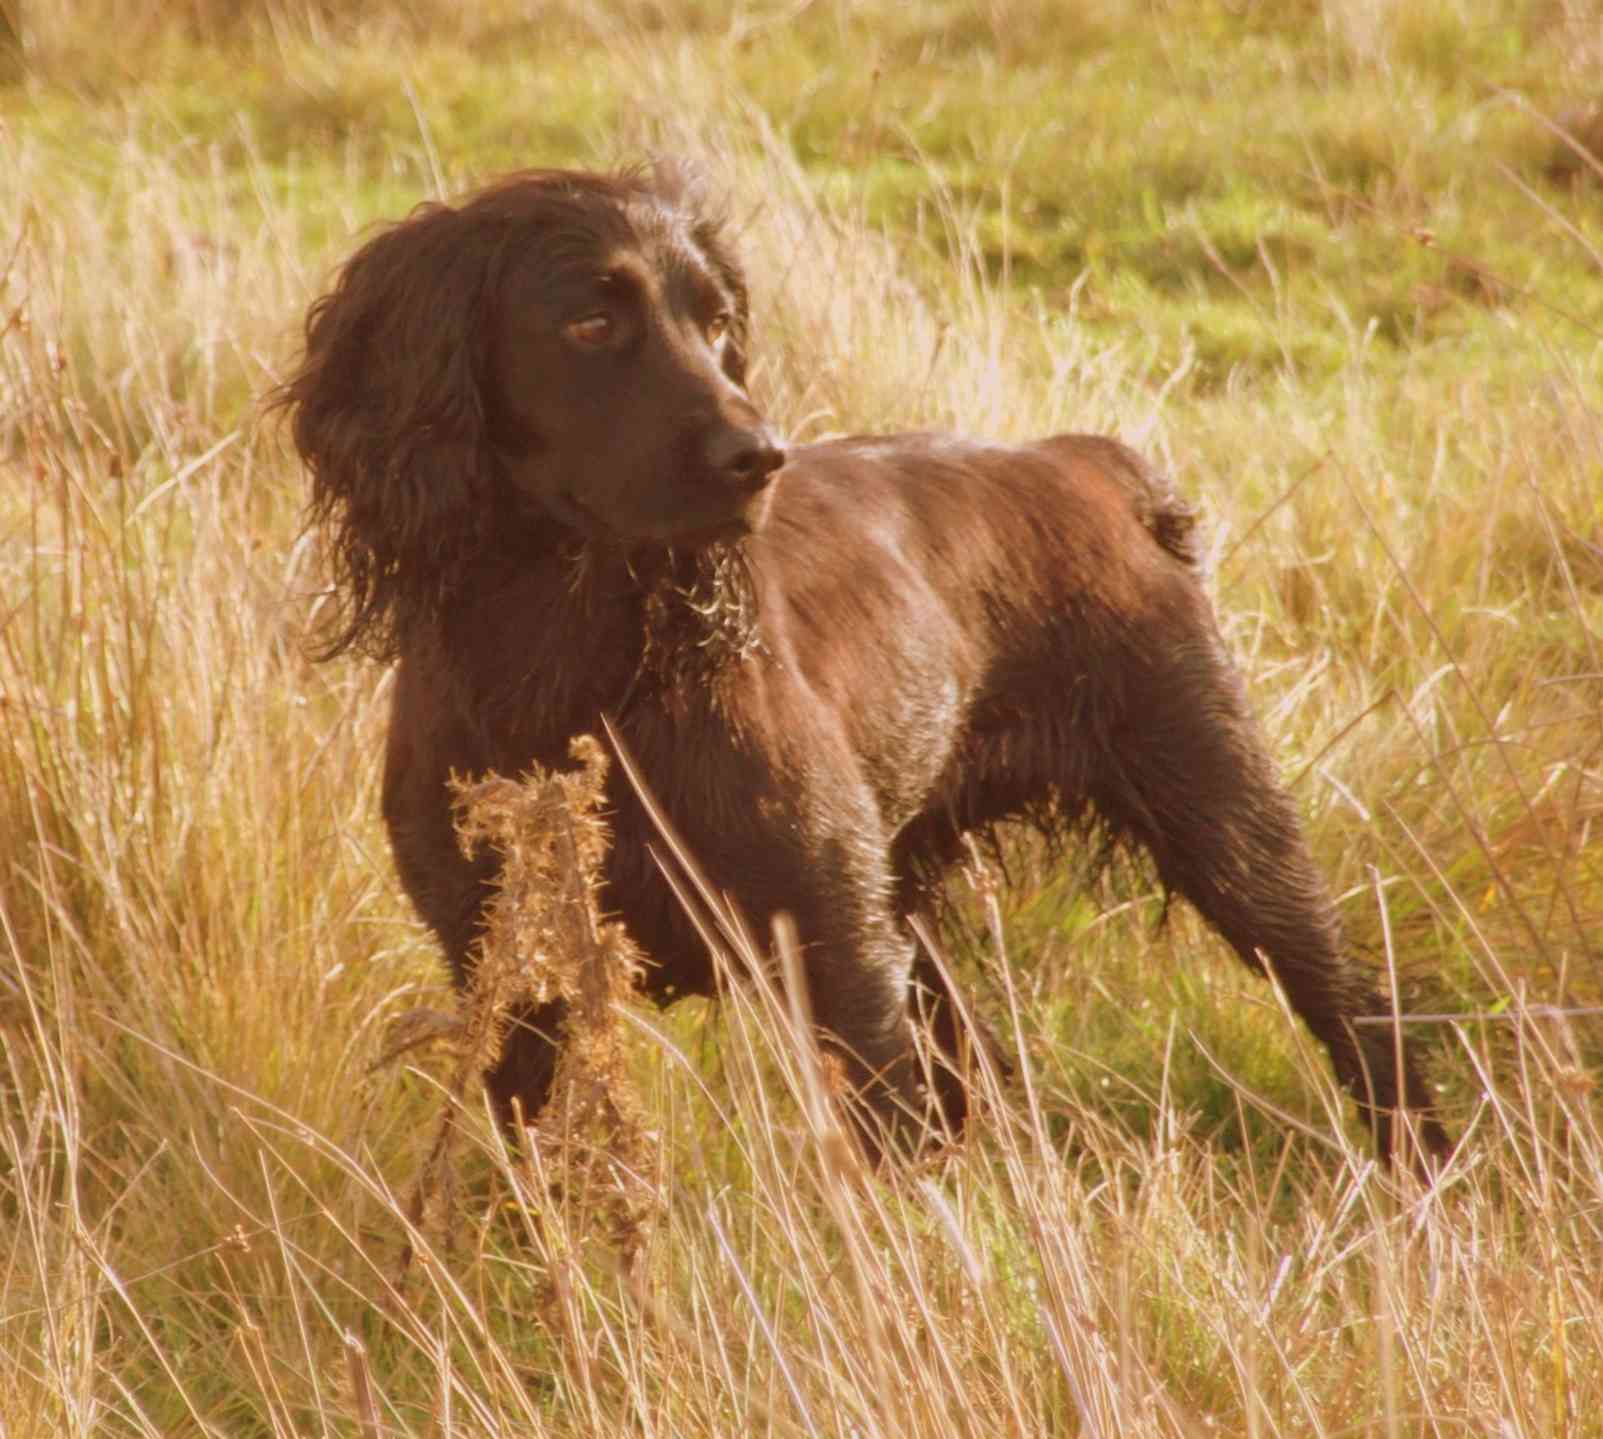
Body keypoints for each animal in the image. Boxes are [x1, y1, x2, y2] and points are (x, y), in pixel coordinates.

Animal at [275, 162, 1455, 1166]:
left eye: (718, 323)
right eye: (591, 320)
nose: (759, 456)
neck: (571, 668)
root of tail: (1093, 467)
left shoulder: (833, 950)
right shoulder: (512, 975)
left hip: (1226, 820)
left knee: (1353, 1004)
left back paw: (1426, 1169)